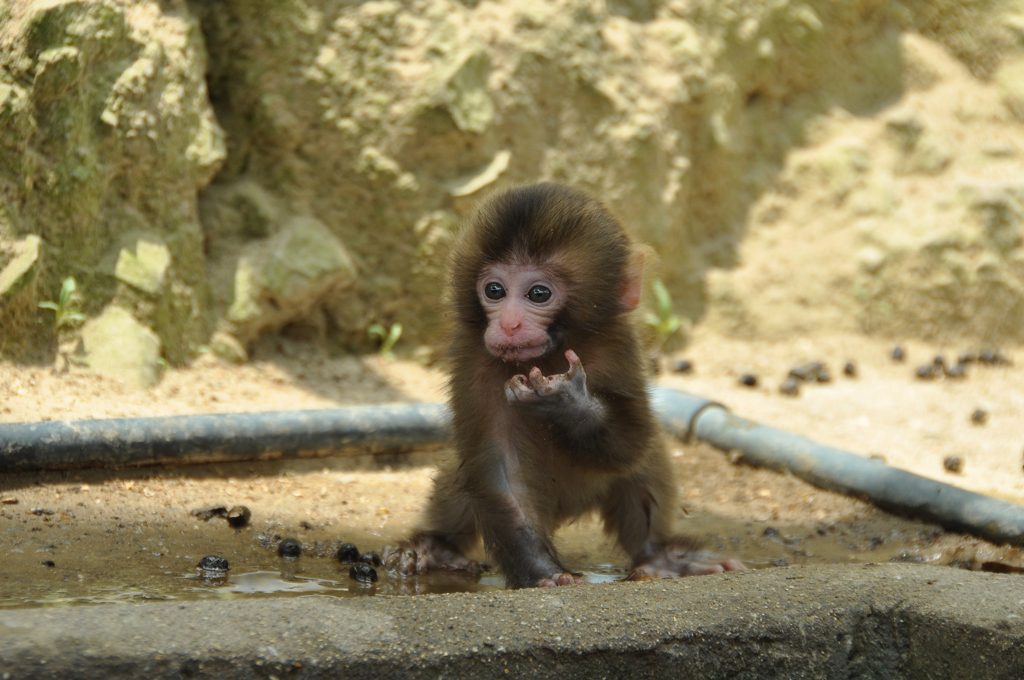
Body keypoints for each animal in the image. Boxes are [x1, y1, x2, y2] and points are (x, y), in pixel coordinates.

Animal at [385, 183, 745, 585]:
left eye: (538, 294)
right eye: (494, 290)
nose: (508, 324)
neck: (549, 355)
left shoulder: (617, 348)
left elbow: (634, 443)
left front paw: (568, 404)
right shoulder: (474, 362)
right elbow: (501, 467)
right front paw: (545, 572)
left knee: (645, 462)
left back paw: (662, 557)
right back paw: (434, 548)